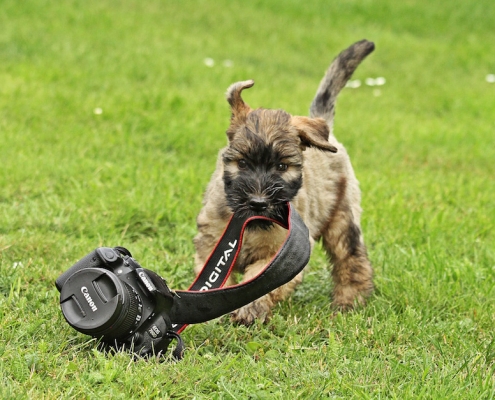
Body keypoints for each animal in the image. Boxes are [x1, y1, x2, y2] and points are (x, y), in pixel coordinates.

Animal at [194, 39, 376, 324]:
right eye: (242, 163)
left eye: (282, 166)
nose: (258, 203)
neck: (251, 224)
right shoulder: (211, 240)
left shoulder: (281, 254)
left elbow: (259, 281)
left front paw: (248, 312)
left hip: (342, 218)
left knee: (351, 258)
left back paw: (349, 302)